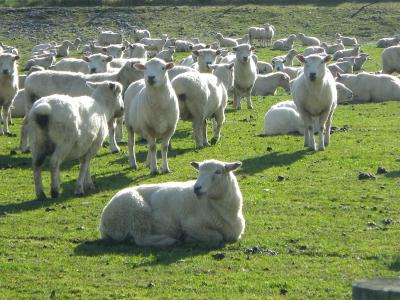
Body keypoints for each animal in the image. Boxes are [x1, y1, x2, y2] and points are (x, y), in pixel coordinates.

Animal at [98, 159, 245, 246]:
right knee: (141, 238)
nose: (196, 188)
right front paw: (188, 238)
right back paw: (168, 240)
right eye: (199, 172)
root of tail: (103, 223)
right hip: (136, 210)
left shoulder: (236, 232)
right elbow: (216, 237)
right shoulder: (191, 225)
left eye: (218, 172)